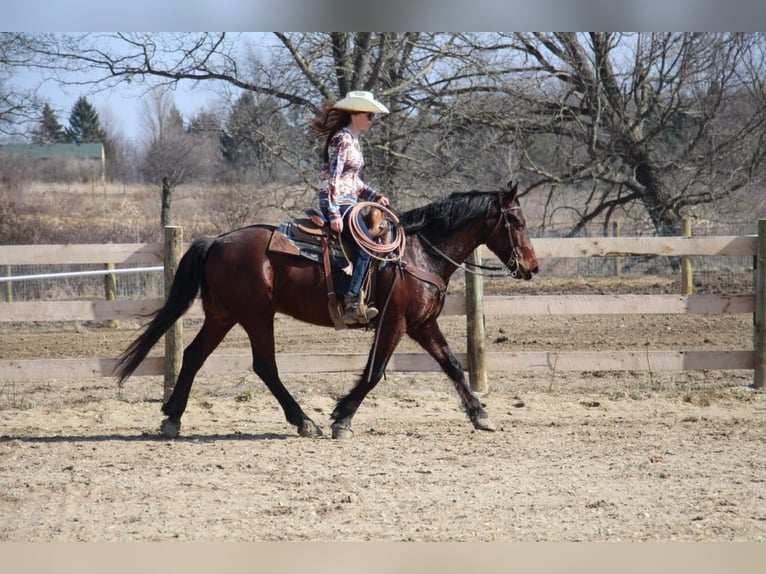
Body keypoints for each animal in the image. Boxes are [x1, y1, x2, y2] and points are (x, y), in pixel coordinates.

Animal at [118, 182, 540, 438]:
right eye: (518, 221)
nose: (532, 267)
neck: (420, 253)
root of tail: (216, 241)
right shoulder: (395, 322)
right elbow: (374, 372)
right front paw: (341, 417)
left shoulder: (422, 323)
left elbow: (451, 363)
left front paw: (480, 414)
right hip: (256, 316)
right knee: (264, 366)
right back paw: (304, 421)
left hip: (223, 315)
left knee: (193, 355)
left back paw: (173, 417)